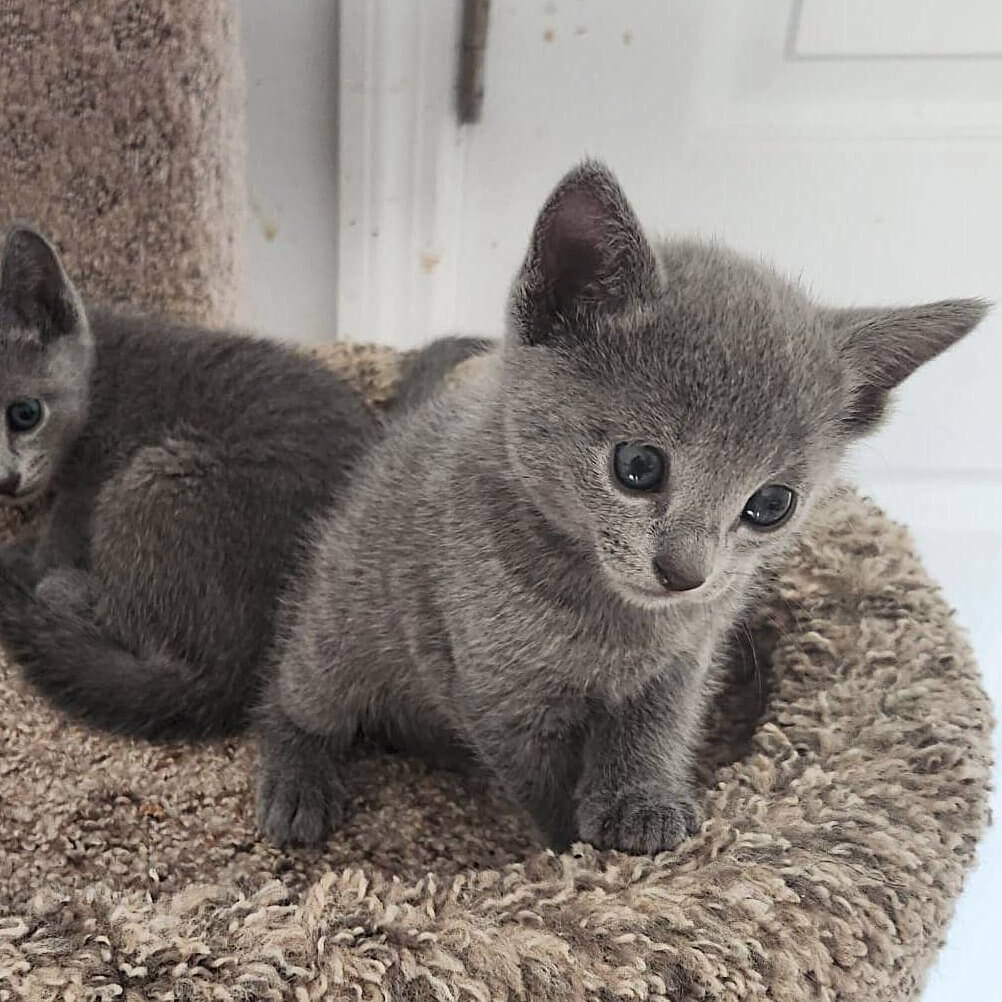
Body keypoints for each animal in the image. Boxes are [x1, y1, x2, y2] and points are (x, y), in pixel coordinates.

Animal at [0, 226, 378, 739]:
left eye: (25, 413)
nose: (7, 480)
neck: (97, 379)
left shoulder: (86, 488)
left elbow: (52, 546)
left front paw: (28, 555)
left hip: (153, 478)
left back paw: (63, 589)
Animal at [254, 160, 987, 854]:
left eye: (771, 505)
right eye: (638, 466)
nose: (685, 573)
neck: (614, 615)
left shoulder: (684, 660)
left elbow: (655, 731)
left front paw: (643, 804)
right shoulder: (496, 689)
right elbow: (538, 778)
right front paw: (573, 847)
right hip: (339, 632)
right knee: (289, 694)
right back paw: (297, 782)